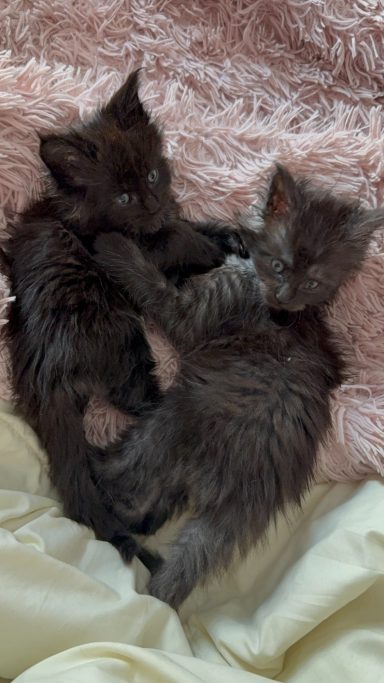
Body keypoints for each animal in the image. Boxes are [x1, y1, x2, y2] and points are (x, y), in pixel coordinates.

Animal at [3, 71, 242, 568]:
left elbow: (188, 228)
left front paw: (228, 234)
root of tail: (44, 377)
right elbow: (180, 237)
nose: (152, 203)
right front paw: (216, 247)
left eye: (152, 174)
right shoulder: (136, 245)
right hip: (125, 343)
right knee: (144, 407)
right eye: (124, 197)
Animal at [91, 167, 382, 608]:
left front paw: (114, 244)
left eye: (313, 283)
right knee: (147, 510)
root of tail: (250, 489)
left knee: (120, 486)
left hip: (167, 422)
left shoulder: (190, 315)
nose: (285, 296)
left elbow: (154, 287)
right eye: (279, 265)